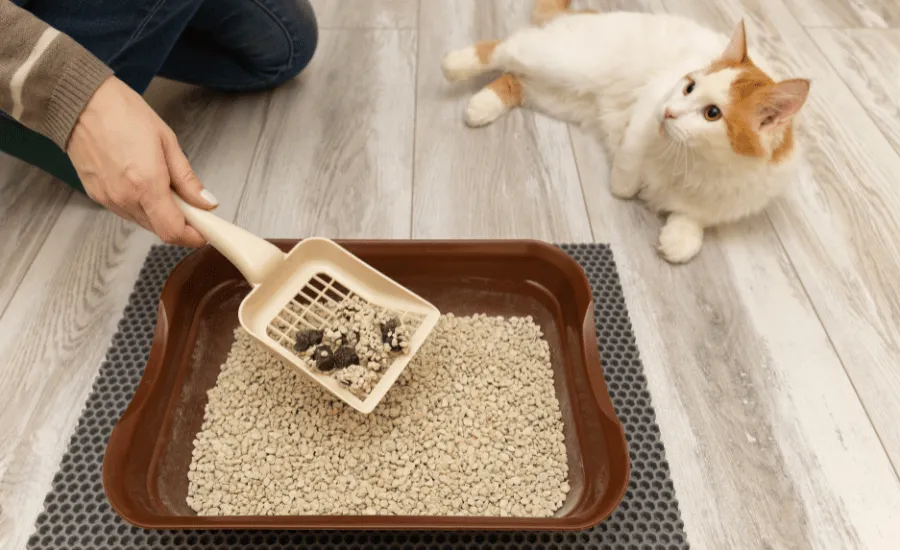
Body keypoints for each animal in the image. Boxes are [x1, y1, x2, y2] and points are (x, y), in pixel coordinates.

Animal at [440, 0, 812, 264]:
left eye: (712, 114)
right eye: (689, 87)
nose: (670, 112)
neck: (695, 160)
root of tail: (587, 14)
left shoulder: (734, 197)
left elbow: (696, 216)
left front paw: (680, 238)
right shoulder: (649, 107)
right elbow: (630, 164)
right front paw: (627, 186)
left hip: (557, 95)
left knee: (514, 78)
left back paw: (482, 105)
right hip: (563, 62)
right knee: (503, 48)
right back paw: (455, 63)